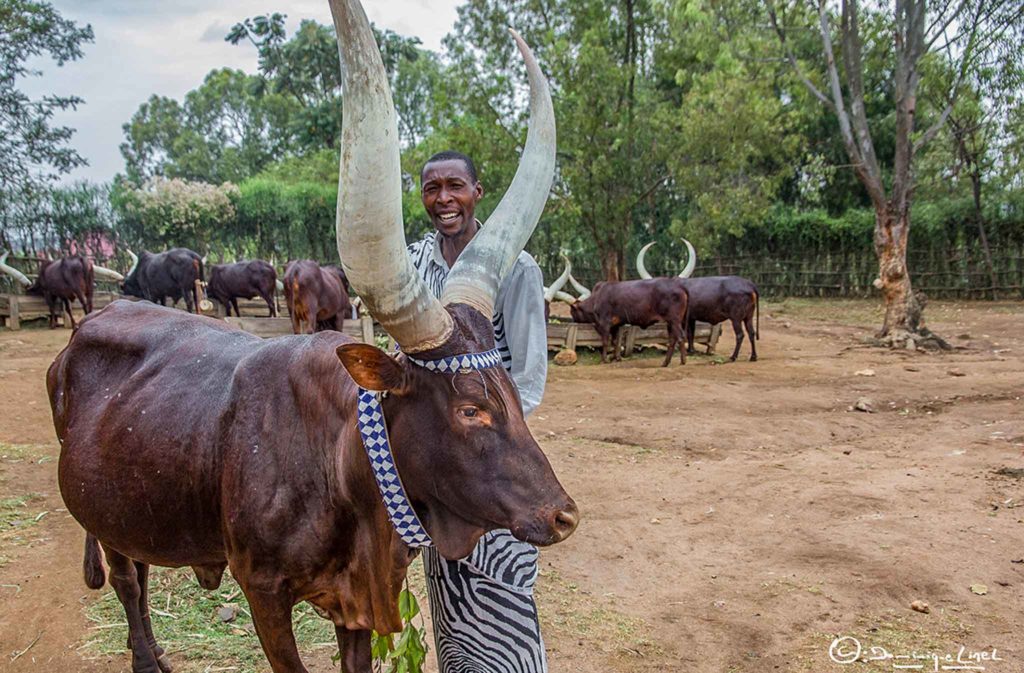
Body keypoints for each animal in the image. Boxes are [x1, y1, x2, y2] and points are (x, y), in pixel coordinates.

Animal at [46, 6, 577, 671]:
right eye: (470, 409)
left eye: (509, 387)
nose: (563, 515)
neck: (340, 461)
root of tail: (83, 333)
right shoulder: (263, 591)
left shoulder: (356, 606)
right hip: (100, 511)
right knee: (124, 580)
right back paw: (146, 657)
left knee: (138, 574)